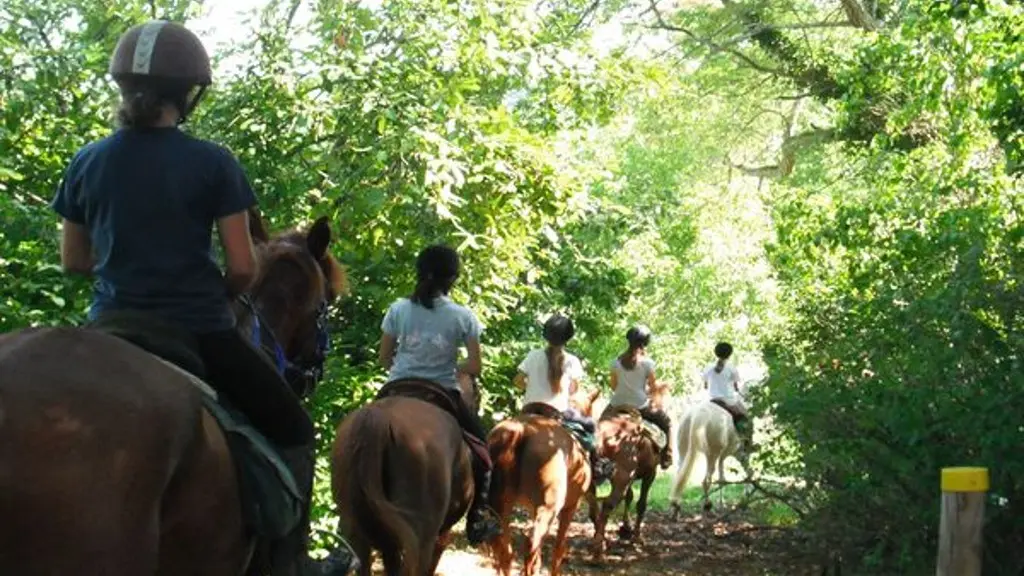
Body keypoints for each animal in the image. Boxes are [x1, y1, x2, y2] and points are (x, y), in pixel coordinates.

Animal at [487, 385, 598, 573]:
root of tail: (520, 429)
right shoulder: (571, 507)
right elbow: (559, 548)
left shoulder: (533, 508)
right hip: (548, 508)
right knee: (530, 545)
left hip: (501, 507)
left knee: (504, 551)